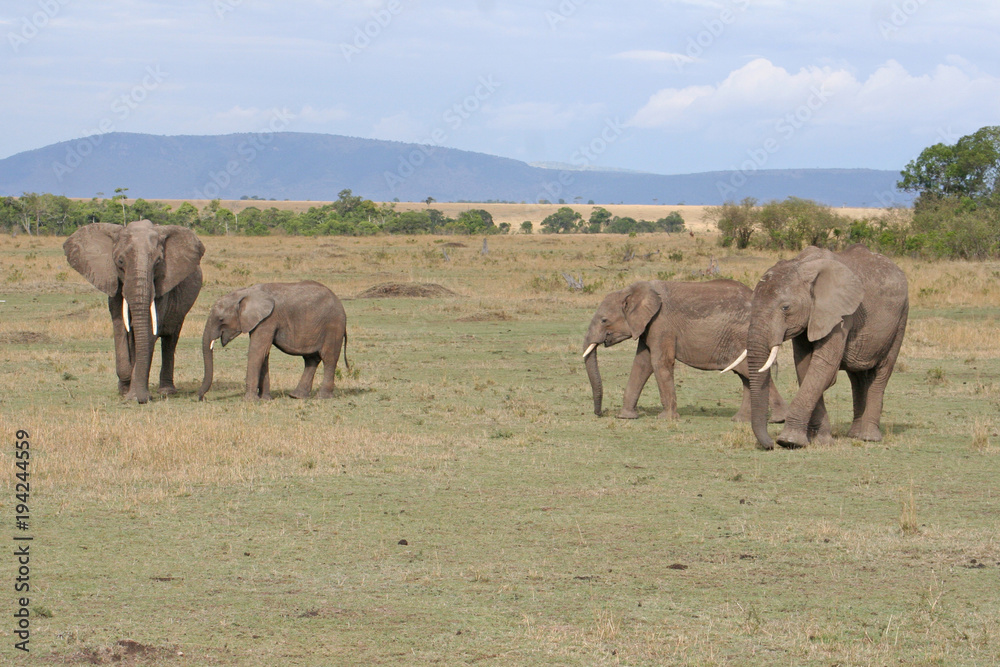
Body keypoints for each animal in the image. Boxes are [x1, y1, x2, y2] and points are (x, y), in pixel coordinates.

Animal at [63, 222, 205, 404]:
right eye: (120, 261)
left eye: (158, 262)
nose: (144, 399)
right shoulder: (114, 284)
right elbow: (120, 328)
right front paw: (125, 389)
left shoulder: (162, 286)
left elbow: (149, 331)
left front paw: (136, 396)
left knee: (170, 338)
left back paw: (166, 391)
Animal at [197, 280, 350, 400]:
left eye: (221, 319)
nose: (201, 398)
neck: (246, 292)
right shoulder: (260, 321)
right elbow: (263, 354)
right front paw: (265, 399)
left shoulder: (269, 319)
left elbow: (257, 351)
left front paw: (249, 400)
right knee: (311, 359)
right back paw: (296, 396)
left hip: (333, 326)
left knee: (328, 358)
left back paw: (322, 397)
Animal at [580, 282, 788, 422]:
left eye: (604, 320)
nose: (599, 413)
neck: (633, 289)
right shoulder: (648, 326)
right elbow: (642, 364)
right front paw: (625, 417)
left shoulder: (661, 324)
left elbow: (659, 362)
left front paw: (666, 419)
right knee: (745, 374)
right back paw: (740, 420)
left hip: (743, 337)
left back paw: (778, 419)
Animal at [740, 243, 912, 452]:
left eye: (785, 308)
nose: (770, 445)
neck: (802, 264)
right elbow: (805, 367)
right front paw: (821, 440)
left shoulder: (840, 315)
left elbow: (823, 367)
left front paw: (789, 441)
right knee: (857, 377)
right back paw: (854, 434)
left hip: (901, 318)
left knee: (881, 372)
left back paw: (868, 438)